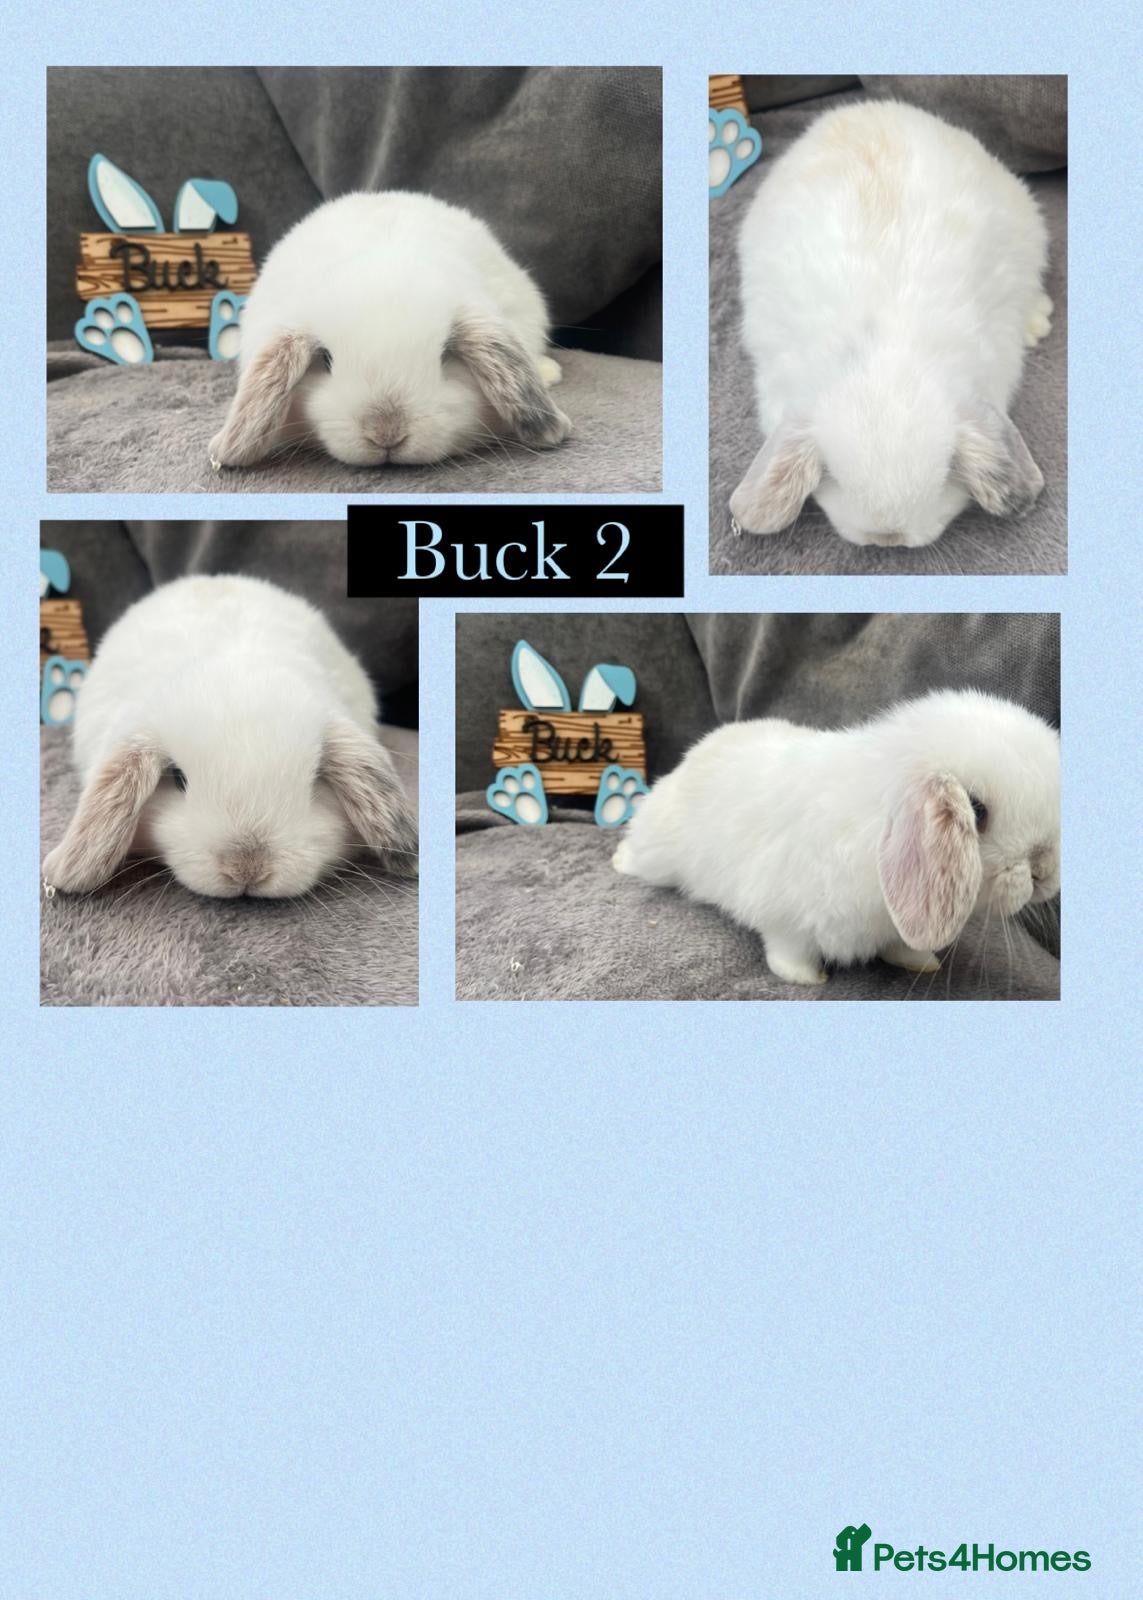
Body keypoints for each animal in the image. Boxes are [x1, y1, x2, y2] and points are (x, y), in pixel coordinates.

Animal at [613, 690, 1059, 986]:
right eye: (977, 811)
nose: (1045, 872)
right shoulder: (785, 915)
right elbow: (787, 950)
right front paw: (807, 978)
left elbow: (902, 947)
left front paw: (922, 961)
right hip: (658, 853)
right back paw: (619, 858)